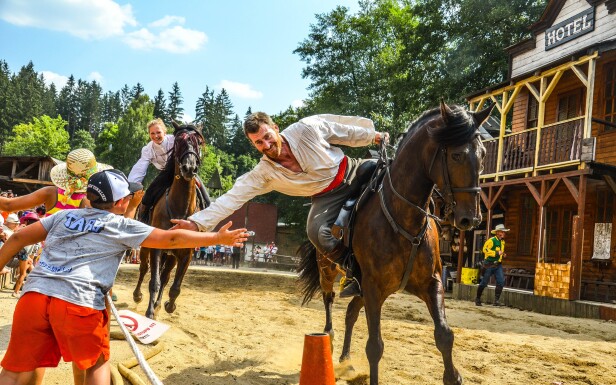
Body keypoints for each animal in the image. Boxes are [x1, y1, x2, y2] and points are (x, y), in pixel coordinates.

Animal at [132, 123, 205, 318]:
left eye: (198, 142)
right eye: (178, 141)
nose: (189, 167)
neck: (179, 208)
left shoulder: (186, 254)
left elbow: (174, 287)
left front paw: (168, 306)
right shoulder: (156, 248)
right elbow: (154, 281)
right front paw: (149, 312)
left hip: (172, 256)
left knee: (165, 277)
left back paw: (158, 304)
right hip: (147, 248)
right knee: (144, 269)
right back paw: (138, 295)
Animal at [296, 101, 494, 384]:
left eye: (483, 153)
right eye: (456, 155)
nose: (471, 217)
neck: (404, 217)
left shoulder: (430, 283)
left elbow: (444, 335)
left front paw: (453, 376)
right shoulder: (373, 287)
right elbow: (374, 346)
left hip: (362, 289)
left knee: (351, 313)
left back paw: (346, 359)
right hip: (329, 271)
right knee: (329, 303)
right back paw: (330, 342)